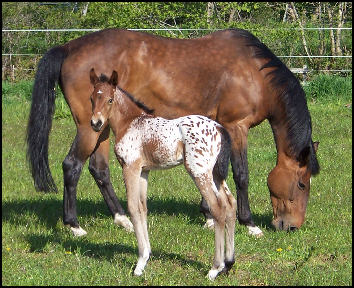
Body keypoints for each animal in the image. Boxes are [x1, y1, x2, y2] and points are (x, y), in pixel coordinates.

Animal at [26, 28, 320, 237]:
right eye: (302, 183)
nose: (292, 226)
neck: (253, 73)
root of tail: (68, 47)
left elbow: (216, 172)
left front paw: (208, 215)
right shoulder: (237, 127)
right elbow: (241, 174)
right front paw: (248, 223)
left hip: (103, 128)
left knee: (99, 170)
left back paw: (123, 220)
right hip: (90, 127)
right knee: (72, 165)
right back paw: (74, 226)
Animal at [90, 67, 236, 280]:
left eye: (110, 99)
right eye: (92, 98)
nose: (96, 123)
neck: (129, 122)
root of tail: (219, 128)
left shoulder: (130, 167)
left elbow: (133, 207)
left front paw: (138, 265)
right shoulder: (144, 171)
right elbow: (142, 208)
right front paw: (146, 257)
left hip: (198, 170)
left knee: (217, 207)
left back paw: (215, 268)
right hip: (216, 174)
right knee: (230, 204)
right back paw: (229, 263)